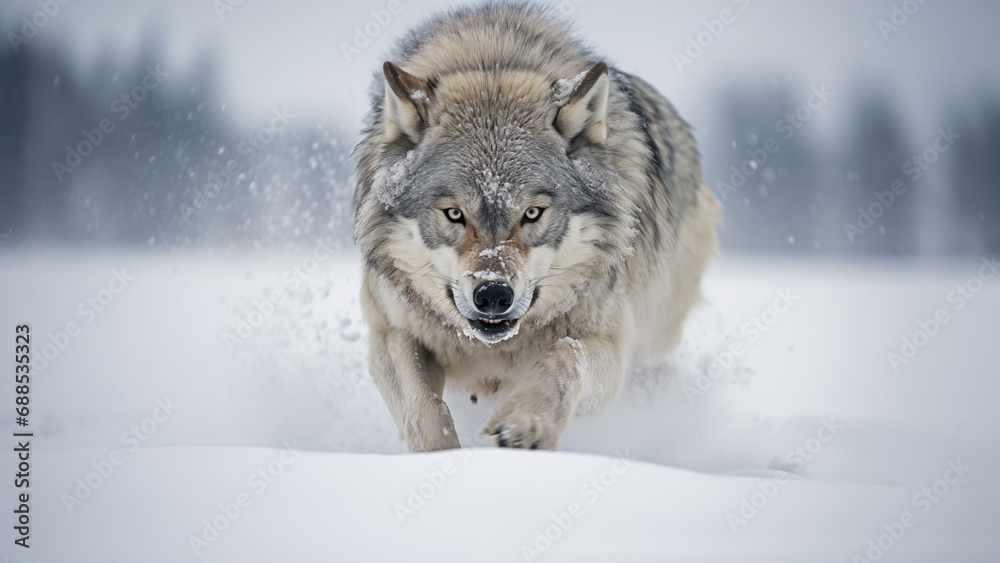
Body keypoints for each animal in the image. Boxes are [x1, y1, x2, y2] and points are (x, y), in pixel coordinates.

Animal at [353, 3, 719, 452]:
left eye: (532, 213)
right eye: (454, 214)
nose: (493, 295)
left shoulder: (609, 345)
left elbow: (565, 354)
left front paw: (527, 423)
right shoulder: (391, 333)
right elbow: (422, 406)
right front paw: (440, 457)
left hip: (652, 337)